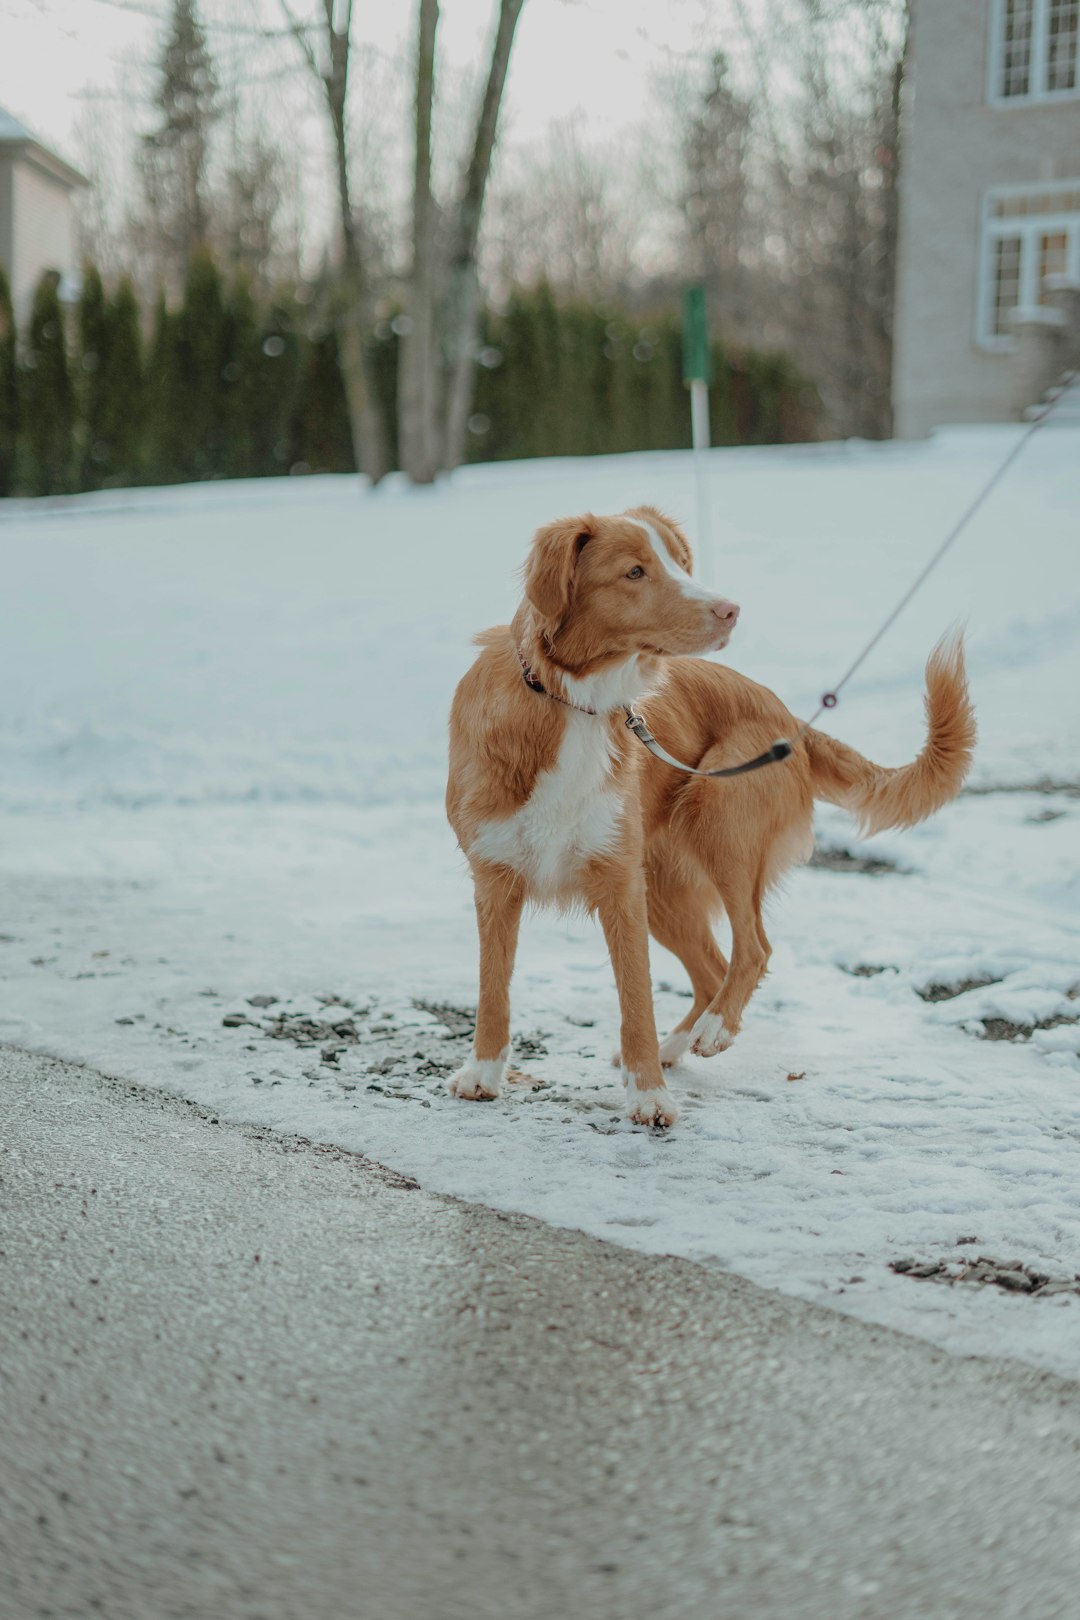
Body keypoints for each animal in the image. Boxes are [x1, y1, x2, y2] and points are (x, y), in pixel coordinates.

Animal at [443, 505, 738, 1127]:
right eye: (635, 572)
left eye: (680, 563)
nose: (731, 609)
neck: (572, 701)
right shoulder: (494, 876)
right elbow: (492, 988)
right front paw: (483, 1073)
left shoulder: (620, 880)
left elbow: (636, 998)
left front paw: (648, 1095)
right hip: (668, 894)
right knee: (715, 967)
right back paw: (688, 1041)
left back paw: (698, 1038)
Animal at [634, 638, 977, 1069]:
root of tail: (788, 717)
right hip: (658, 891)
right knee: (714, 971)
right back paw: (672, 1047)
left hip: (717, 819)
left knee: (753, 951)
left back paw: (713, 1029)